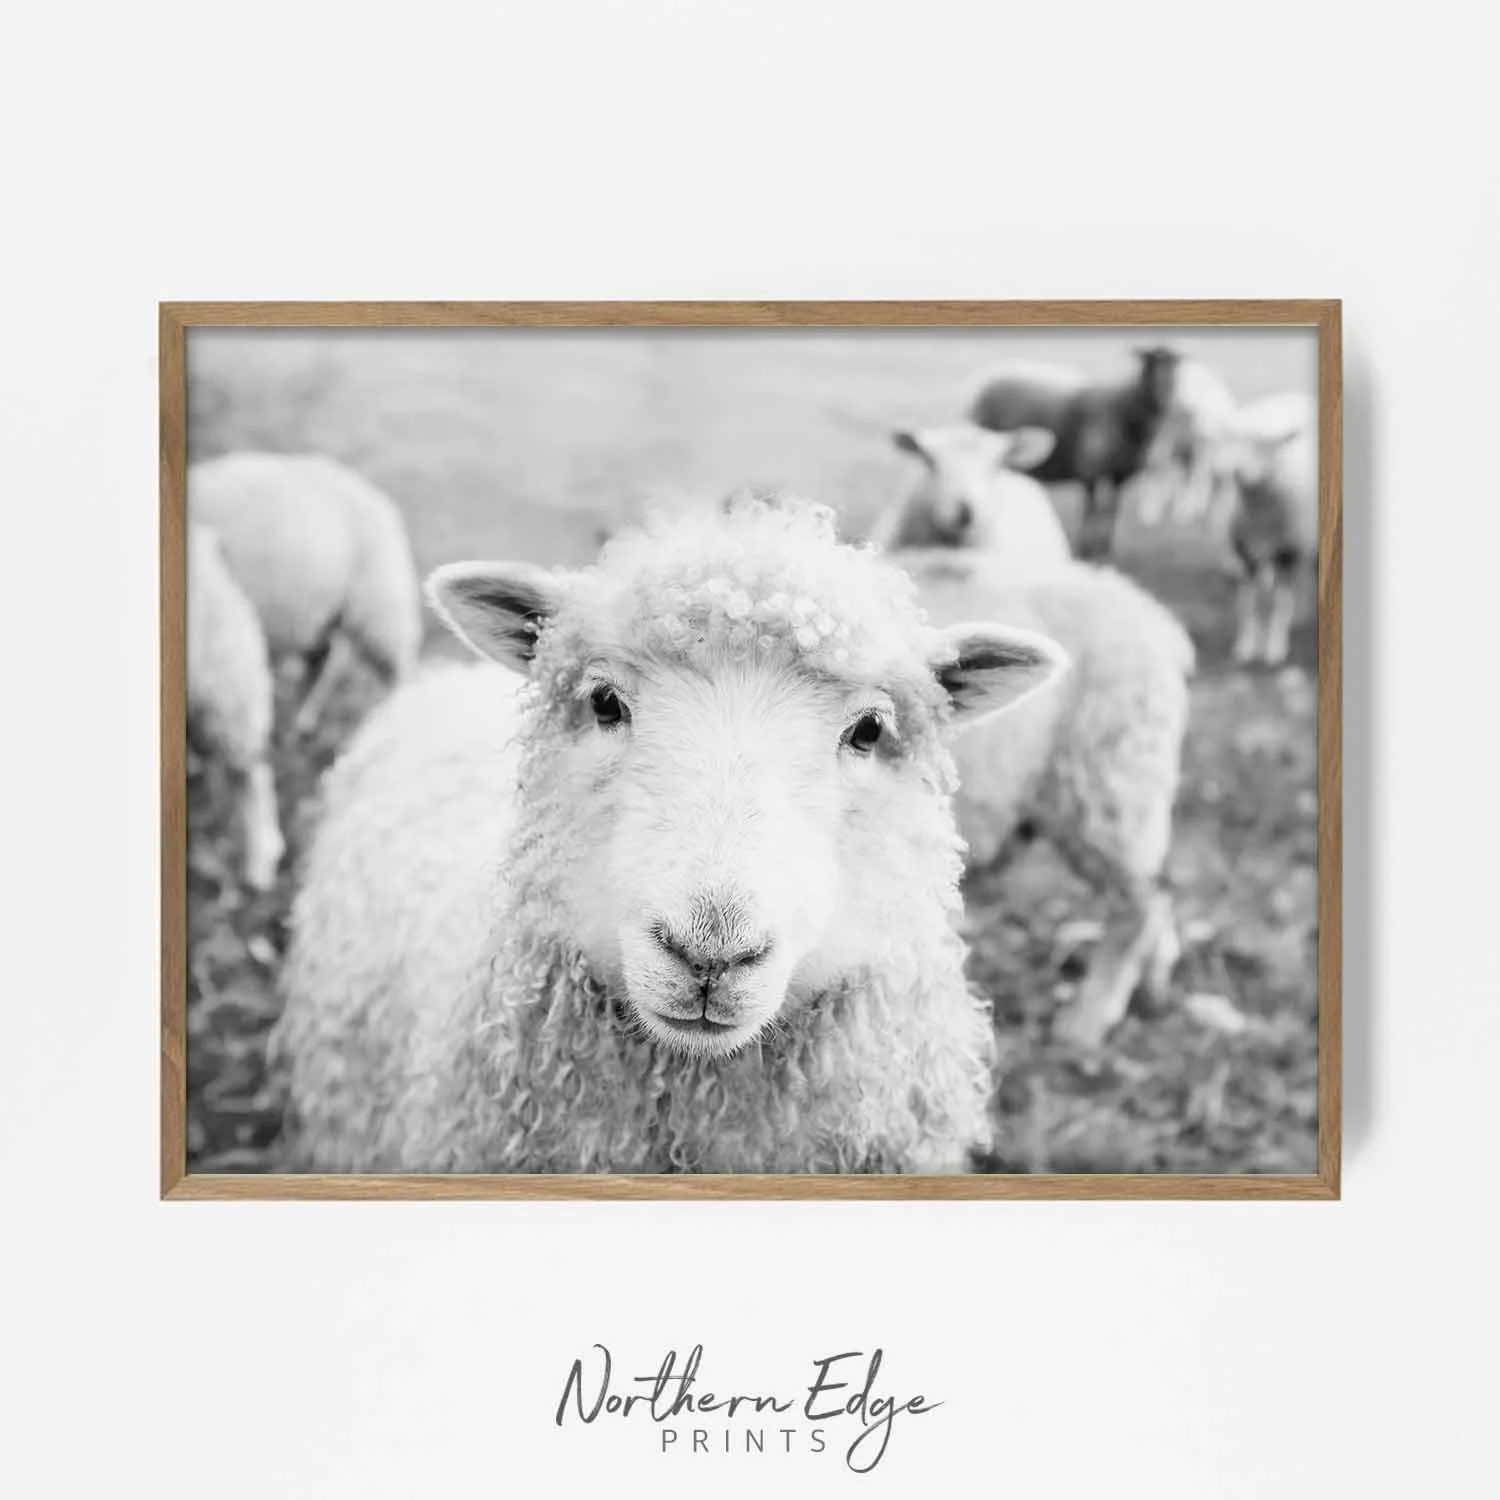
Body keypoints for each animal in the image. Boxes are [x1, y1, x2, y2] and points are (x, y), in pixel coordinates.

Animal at [892, 548, 1194, 1049]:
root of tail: (1156, 619)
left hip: (1105, 778)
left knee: (1142, 900)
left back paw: (1089, 1019)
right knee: (1159, 889)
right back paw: (1153, 984)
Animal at [969, 347, 1183, 560]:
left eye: (1175, 369)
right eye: (1150, 364)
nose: (1166, 395)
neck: (1123, 406)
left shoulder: (1120, 476)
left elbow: (1111, 513)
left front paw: (1105, 550)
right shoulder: (1090, 472)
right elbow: (1090, 512)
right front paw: (1086, 551)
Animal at [1220, 392, 1318, 667]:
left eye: (1264, 446)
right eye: (1234, 441)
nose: (1235, 471)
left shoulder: (1288, 550)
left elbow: (1279, 605)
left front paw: (1275, 649)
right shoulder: (1246, 553)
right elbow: (1248, 604)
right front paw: (1245, 648)